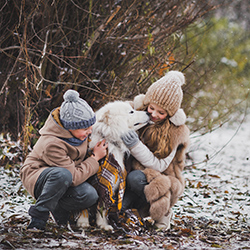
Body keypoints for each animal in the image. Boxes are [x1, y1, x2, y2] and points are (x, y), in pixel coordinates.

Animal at [76, 99, 149, 230]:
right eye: (131, 111)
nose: (148, 112)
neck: (109, 138)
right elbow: (84, 205)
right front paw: (83, 222)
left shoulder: (110, 183)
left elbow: (103, 206)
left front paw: (103, 224)